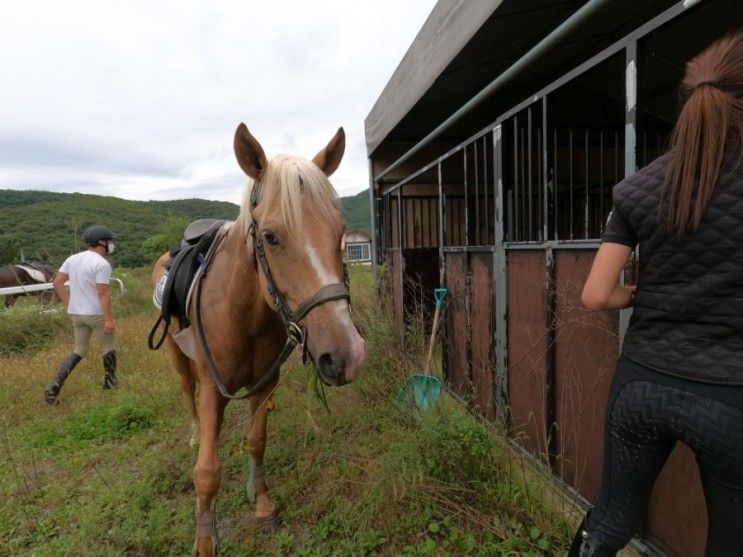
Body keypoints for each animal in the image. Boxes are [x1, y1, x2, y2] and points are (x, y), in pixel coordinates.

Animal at [153, 124, 366, 552]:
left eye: (340, 235)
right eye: (270, 237)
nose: (346, 355)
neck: (242, 312)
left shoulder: (265, 381)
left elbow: (256, 441)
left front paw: (262, 502)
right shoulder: (213, 389)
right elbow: (206, 471)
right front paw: (205, 541)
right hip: (177, 357)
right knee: (187, 392)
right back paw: (194, 432)